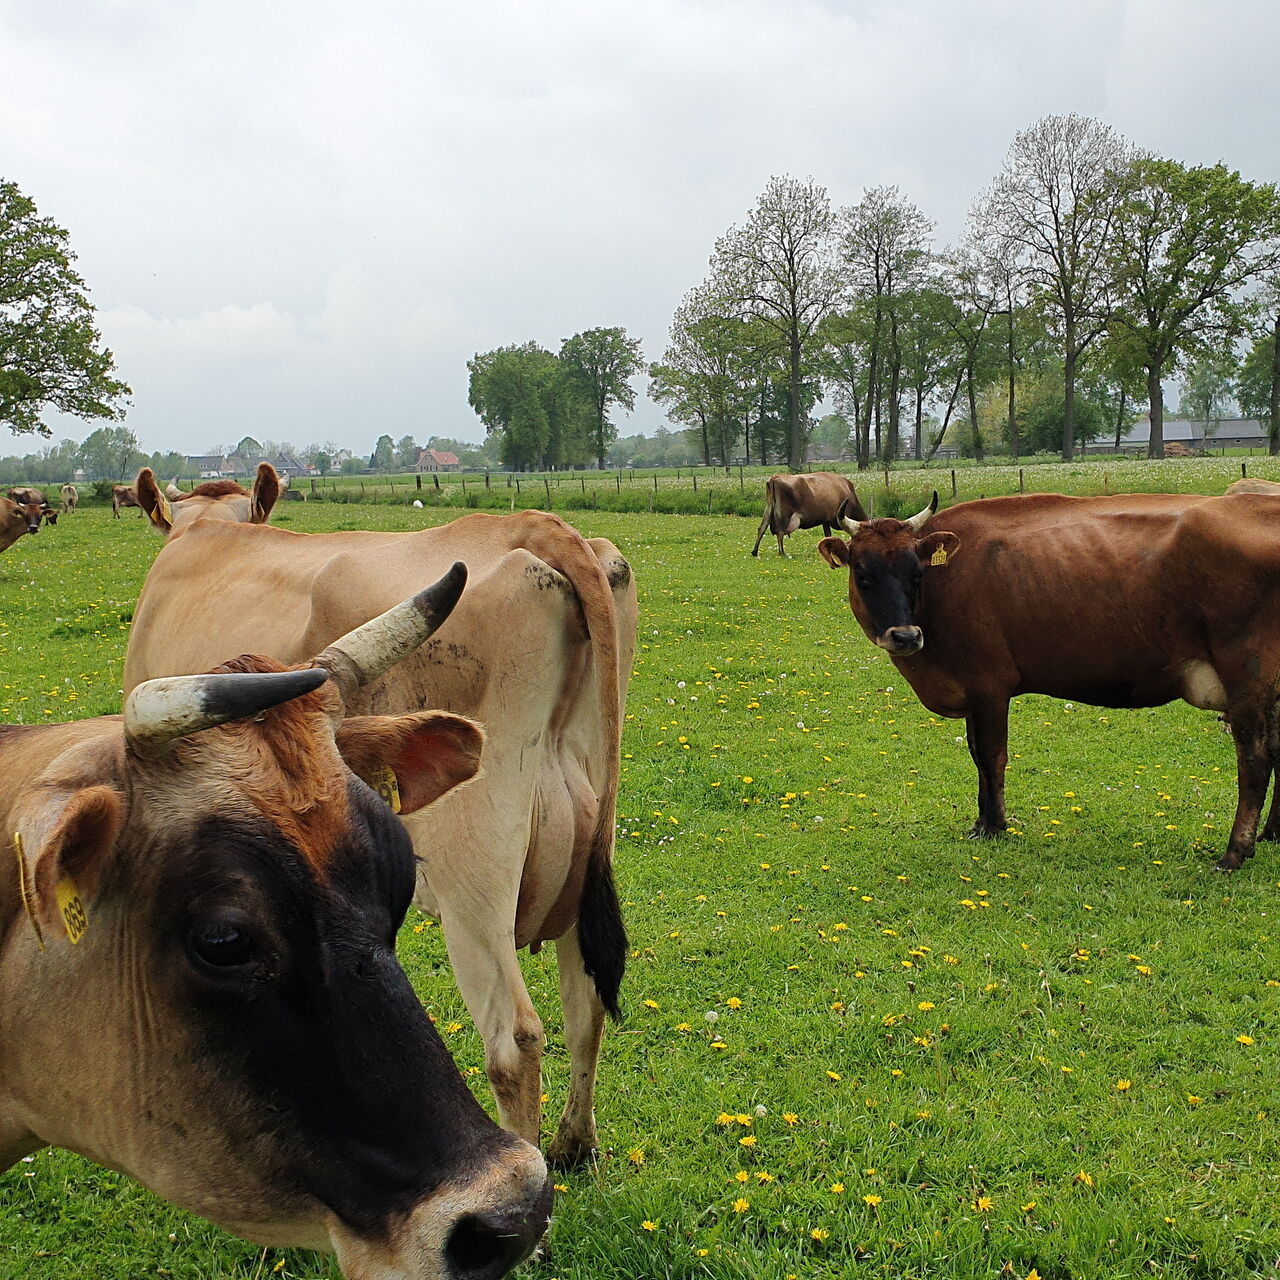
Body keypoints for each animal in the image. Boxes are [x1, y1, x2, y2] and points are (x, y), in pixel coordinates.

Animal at [124, 509, 636, 1165]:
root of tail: (533, 524)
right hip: (588, 853)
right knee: (587, 1000)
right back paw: (574, 1145)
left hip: (475, 878)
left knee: (515, 1039)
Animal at [818, 489, 1280, 872]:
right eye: (862, 573)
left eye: (916, 573)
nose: (905, 636)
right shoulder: (972, 689)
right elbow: (975, 753)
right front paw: (982, 821)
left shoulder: (989, 686)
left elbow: (990, 756)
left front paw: (994, 825)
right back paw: (1270, 833)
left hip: (1247, 676)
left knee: (1255, 759)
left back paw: (1234, 853)